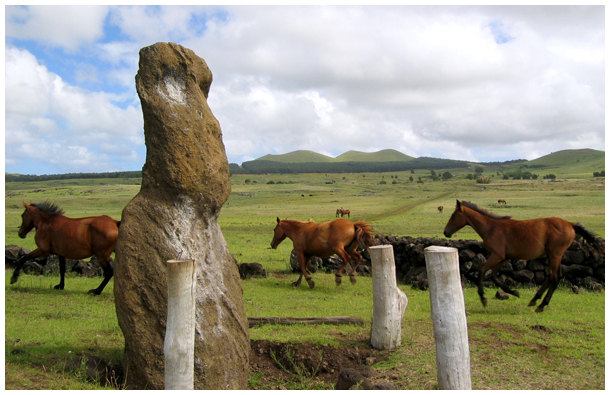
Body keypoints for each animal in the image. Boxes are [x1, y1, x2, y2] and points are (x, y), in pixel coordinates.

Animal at [440, 201, 596, 312]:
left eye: (453, 216)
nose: (446, 232)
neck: (491, 228)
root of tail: (570, 224)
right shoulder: (502, 258)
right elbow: (494, 276)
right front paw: (514, 292)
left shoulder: (496, 256)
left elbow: (482, 270)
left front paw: (483, 298)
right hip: (553, 255)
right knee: (554, 276)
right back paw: (534, 300)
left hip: (555, 254)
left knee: (554, 277)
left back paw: (541, 305)